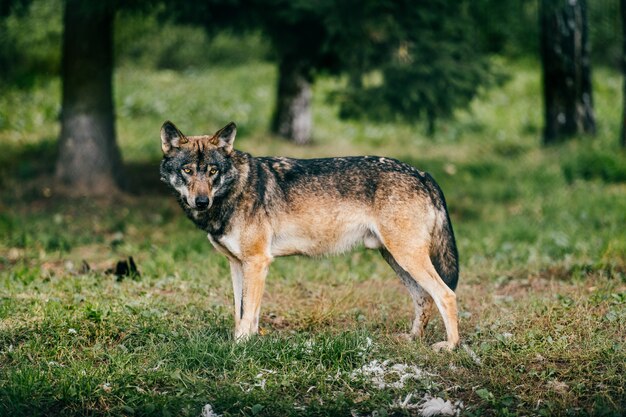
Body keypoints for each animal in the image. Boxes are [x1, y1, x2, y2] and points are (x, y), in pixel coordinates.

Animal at [157, 121, 458, 352]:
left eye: (212, 171)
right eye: (187, 170)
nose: (201, 201)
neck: (236, 189)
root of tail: (422, 173)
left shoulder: (257, 262)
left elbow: (247, 313)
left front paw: (240, 347)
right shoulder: (237, 264)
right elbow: (242, 312)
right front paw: (248, 342)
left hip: (406, 257)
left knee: (446, 294)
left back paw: (450, 346)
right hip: (396, 259)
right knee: (424, 298)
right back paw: (413, 339)